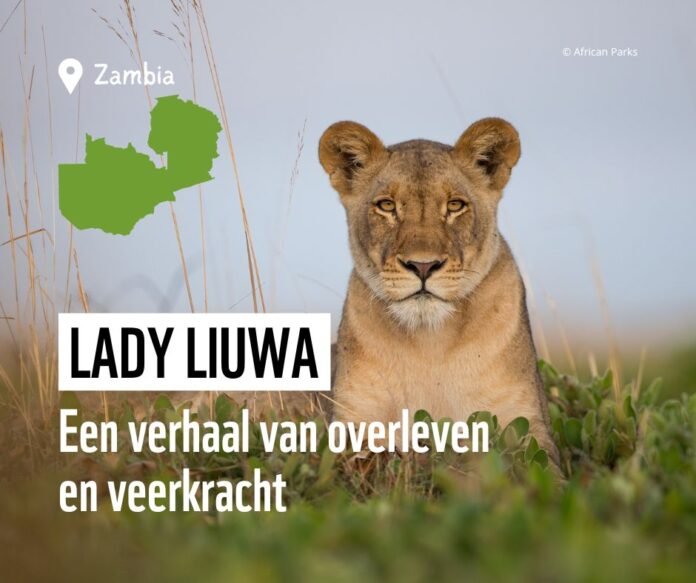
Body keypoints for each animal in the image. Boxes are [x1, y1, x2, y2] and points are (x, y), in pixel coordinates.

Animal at [318, 118, 558, 462]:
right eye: (387, 206)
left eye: (455, 205)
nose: (423, 265)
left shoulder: (530, 427)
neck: (430, 342)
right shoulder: (350, 424)